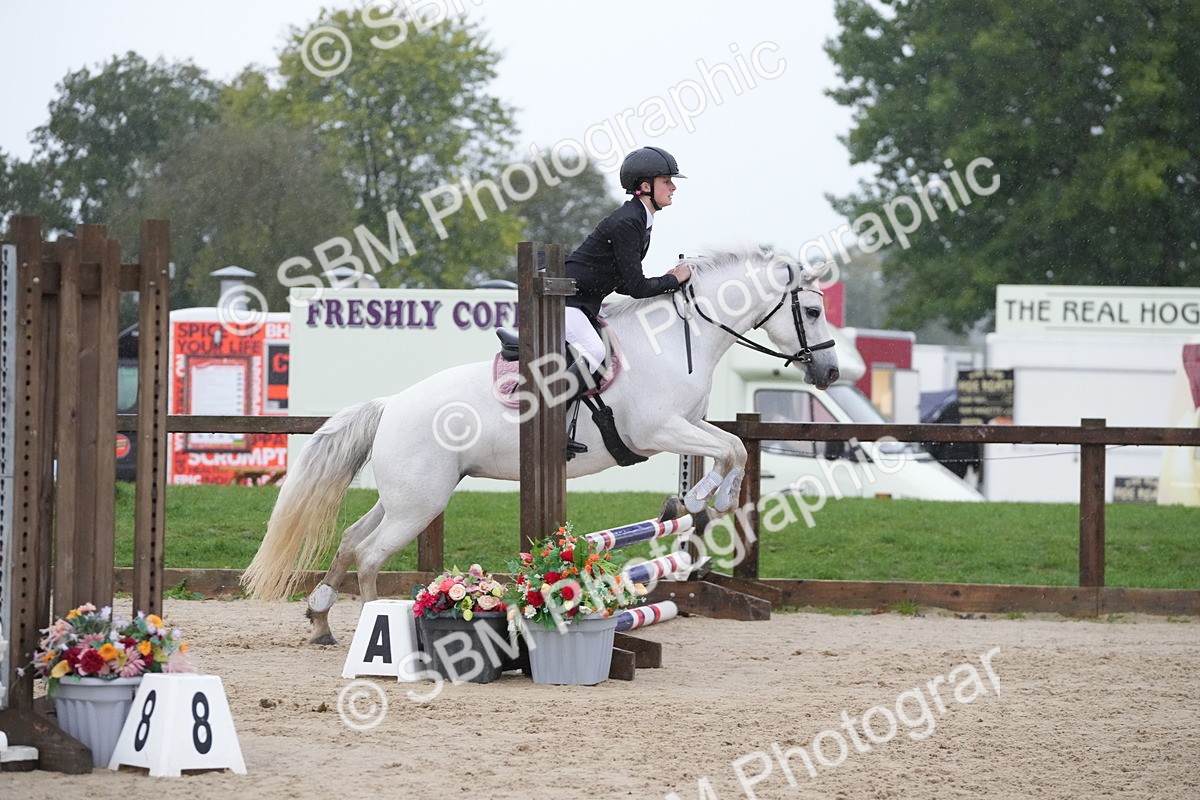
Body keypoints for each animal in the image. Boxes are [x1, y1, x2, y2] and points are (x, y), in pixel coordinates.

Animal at [240, 245, 841, 644]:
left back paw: (321, 619)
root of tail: (391, 405)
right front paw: (700, 501)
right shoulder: (657, 430)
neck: (676, 338)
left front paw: (699, 500)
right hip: (419, 503)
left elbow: (730, 444)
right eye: (811, 311)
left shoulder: (689, 423)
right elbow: (733, 449)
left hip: (405, 497)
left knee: (349, 540)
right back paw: (381, 635)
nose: (831, 371)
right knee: (369, 555)